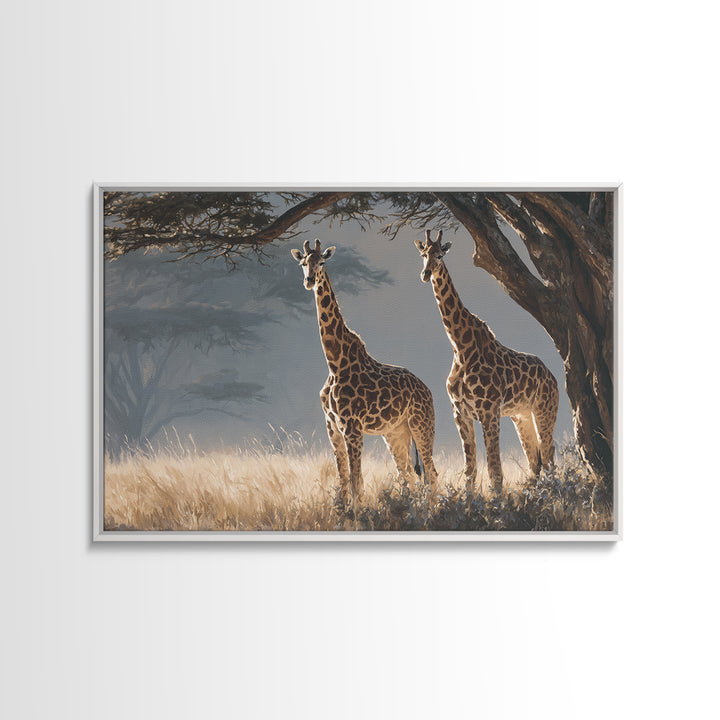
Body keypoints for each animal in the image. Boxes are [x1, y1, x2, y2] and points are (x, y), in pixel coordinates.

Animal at [291, 238, 438, 506]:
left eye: (322, 262)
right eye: (303, 263)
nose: (309, 280)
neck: (334, 362)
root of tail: (427, 390)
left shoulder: (352, 427)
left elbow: (356, 481)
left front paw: (359, 512)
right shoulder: (332, 426)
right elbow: (343, 480)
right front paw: (343, 512)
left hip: (421, 424)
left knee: (431, 472)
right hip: (395, 433)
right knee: (408, 474)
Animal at [415, 229, 559, 492]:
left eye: (440, 255)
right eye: (423, 255)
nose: (426, 274)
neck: (460, 347)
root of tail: (552, 376)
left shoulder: (488, 411)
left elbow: (494, 469)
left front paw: (496, 502)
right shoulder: (460, 413)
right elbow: (470, 470)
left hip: (544, 410)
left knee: (548, 455)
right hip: (521, 415)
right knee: (535, 460)